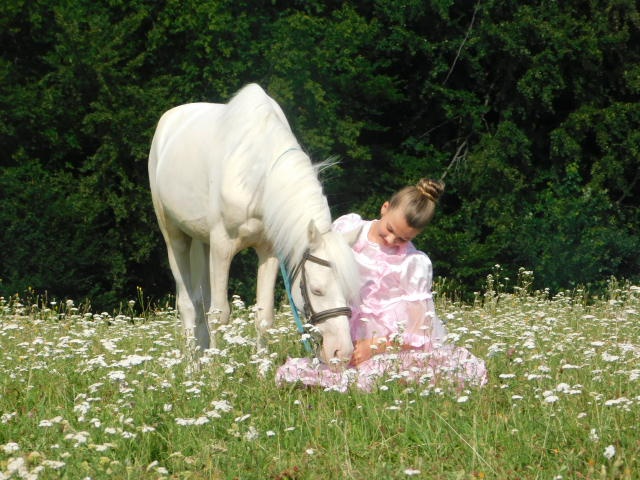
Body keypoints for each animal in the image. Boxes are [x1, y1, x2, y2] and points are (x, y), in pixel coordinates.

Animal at [148, 83, 360, 366]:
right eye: (316, 290)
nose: (342, 354)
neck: (256, 174)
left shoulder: (268, 251)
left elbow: (264, 317)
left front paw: (261, 368)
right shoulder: (222, 247)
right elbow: (219, 315)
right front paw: (217, 372)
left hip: (202, 241)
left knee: (200, 302)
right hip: (174, 236)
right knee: (187, 304)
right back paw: (194, 367)